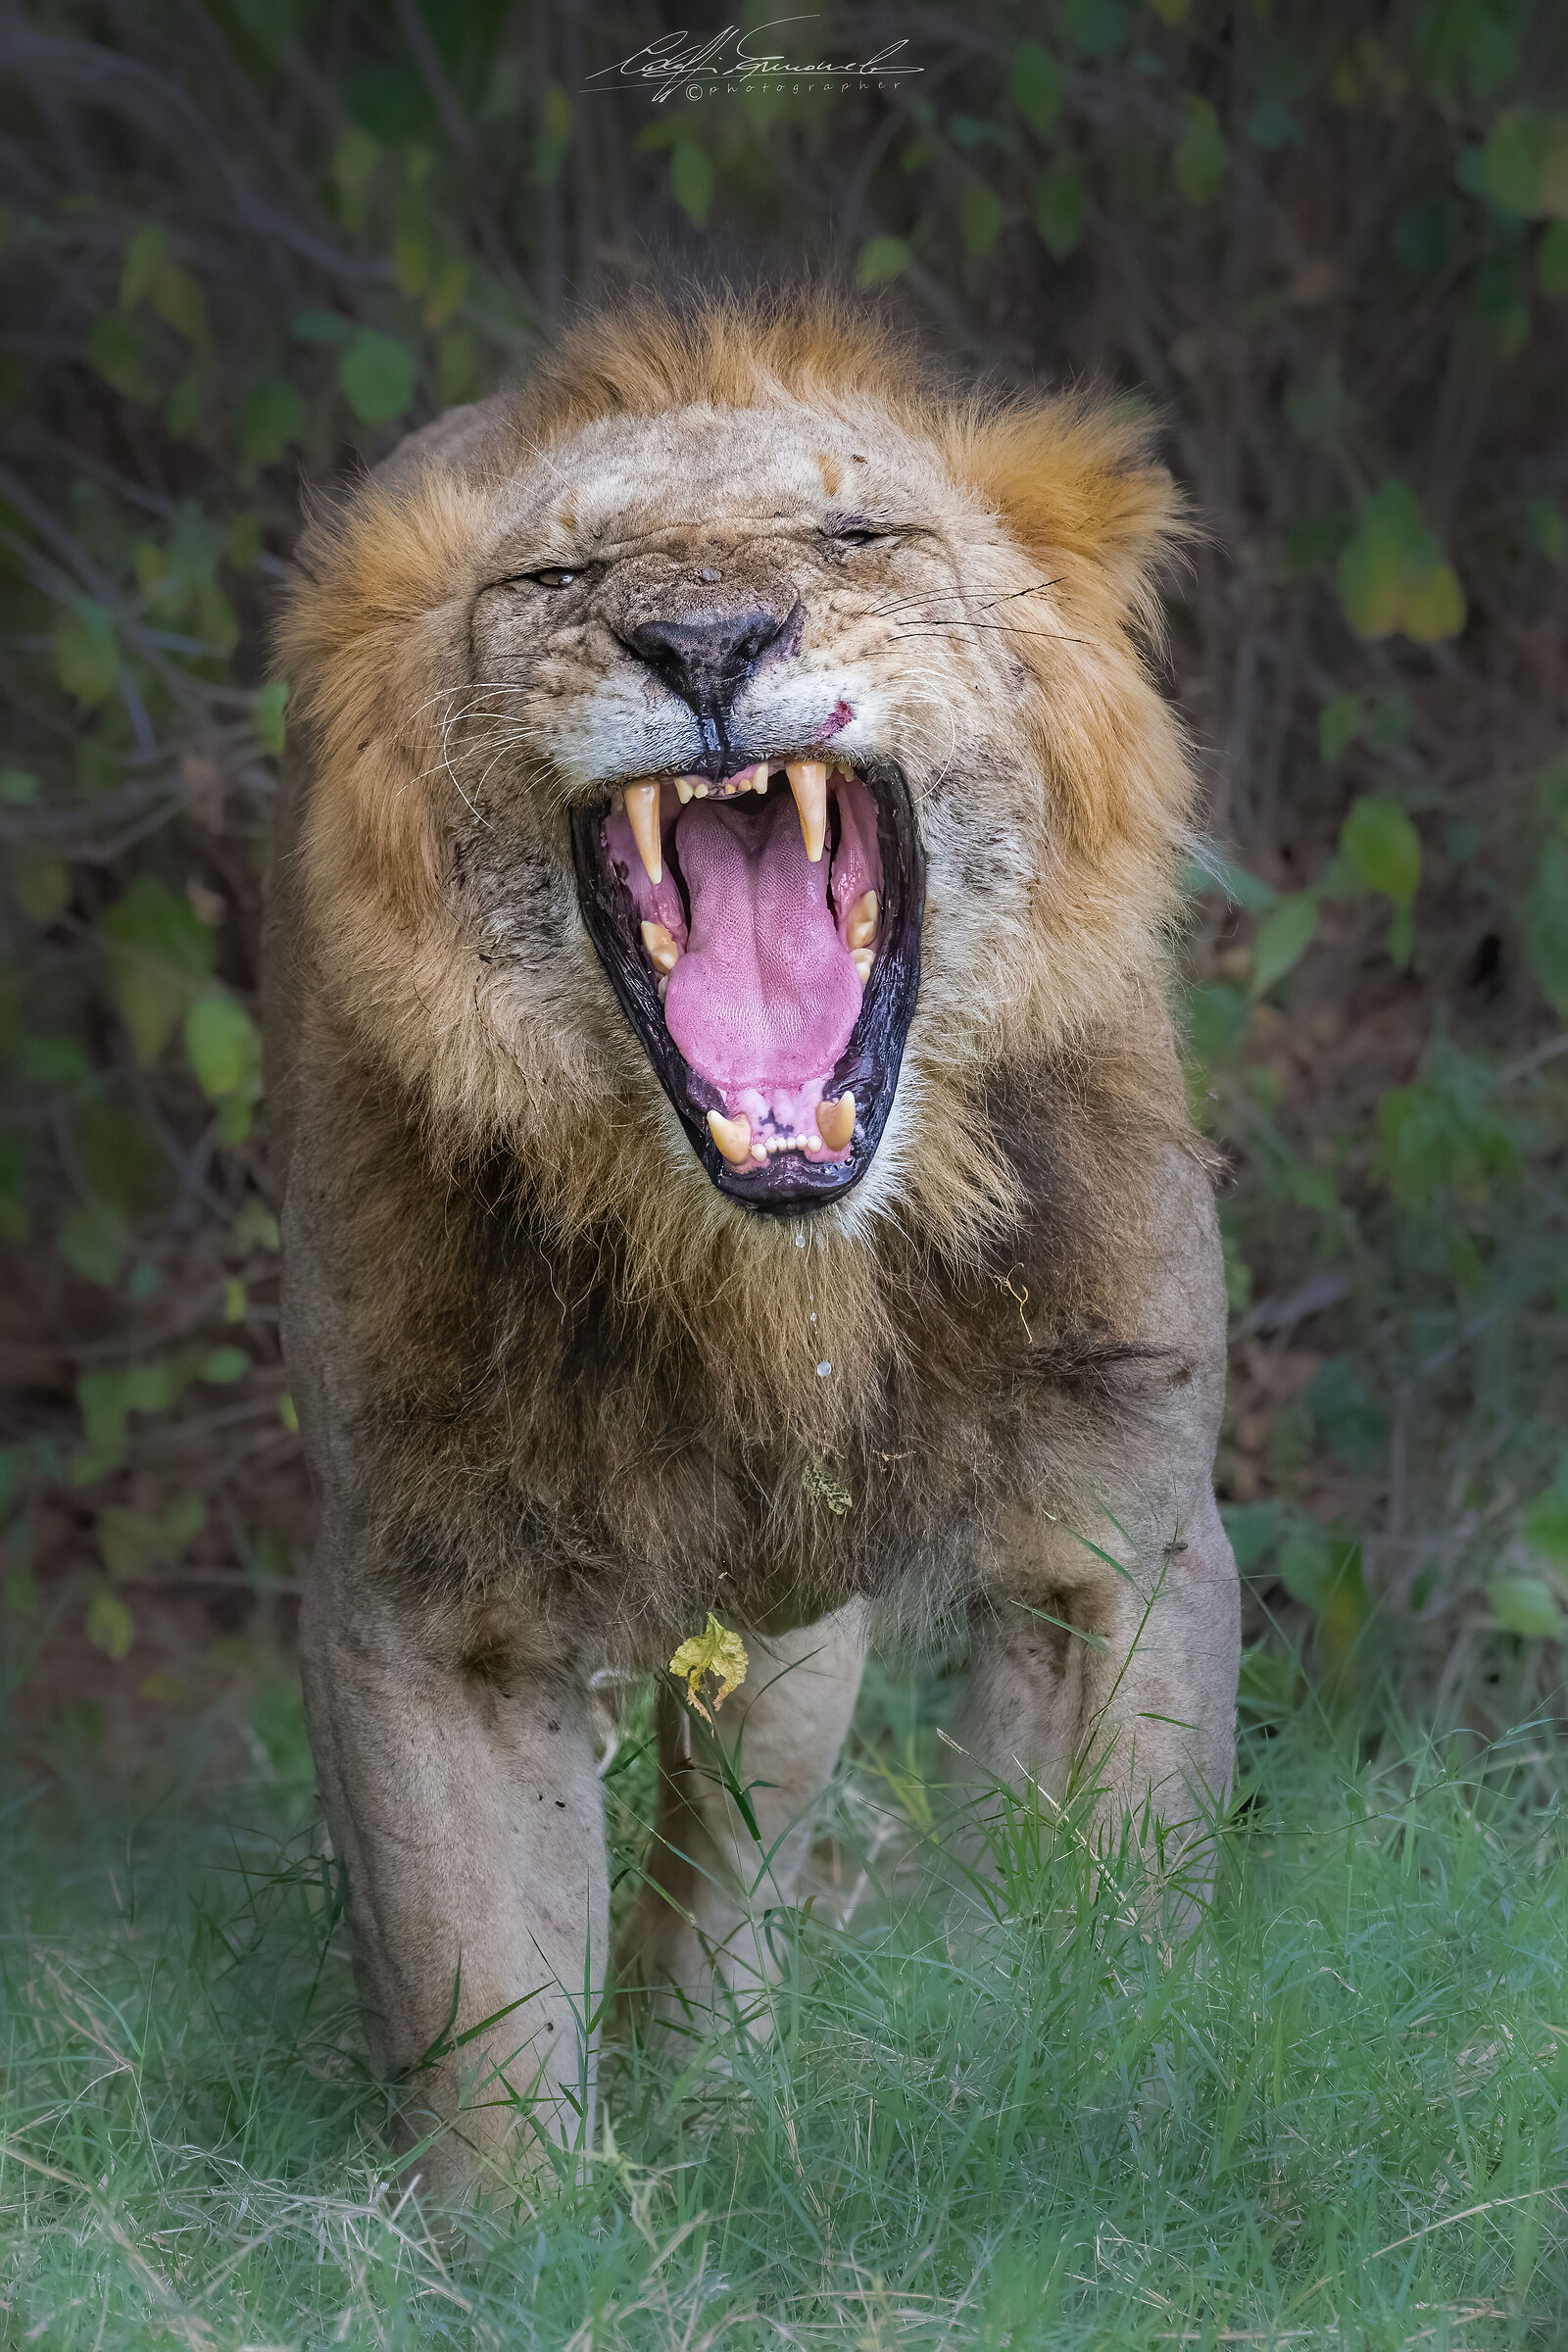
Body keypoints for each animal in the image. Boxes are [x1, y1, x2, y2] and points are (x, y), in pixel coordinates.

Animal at [268, 289, 1240, 2200]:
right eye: (558, 579)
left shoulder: (1128, 1526)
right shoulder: (422, 1602)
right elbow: (483, 2009)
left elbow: (1111, 1929)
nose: (705, 642)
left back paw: (722, 2096)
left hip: (792, 1623)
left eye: (858, 536)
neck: (771, 1270)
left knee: (736, 1848)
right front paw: (527, 2238)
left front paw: (1114, 2136)